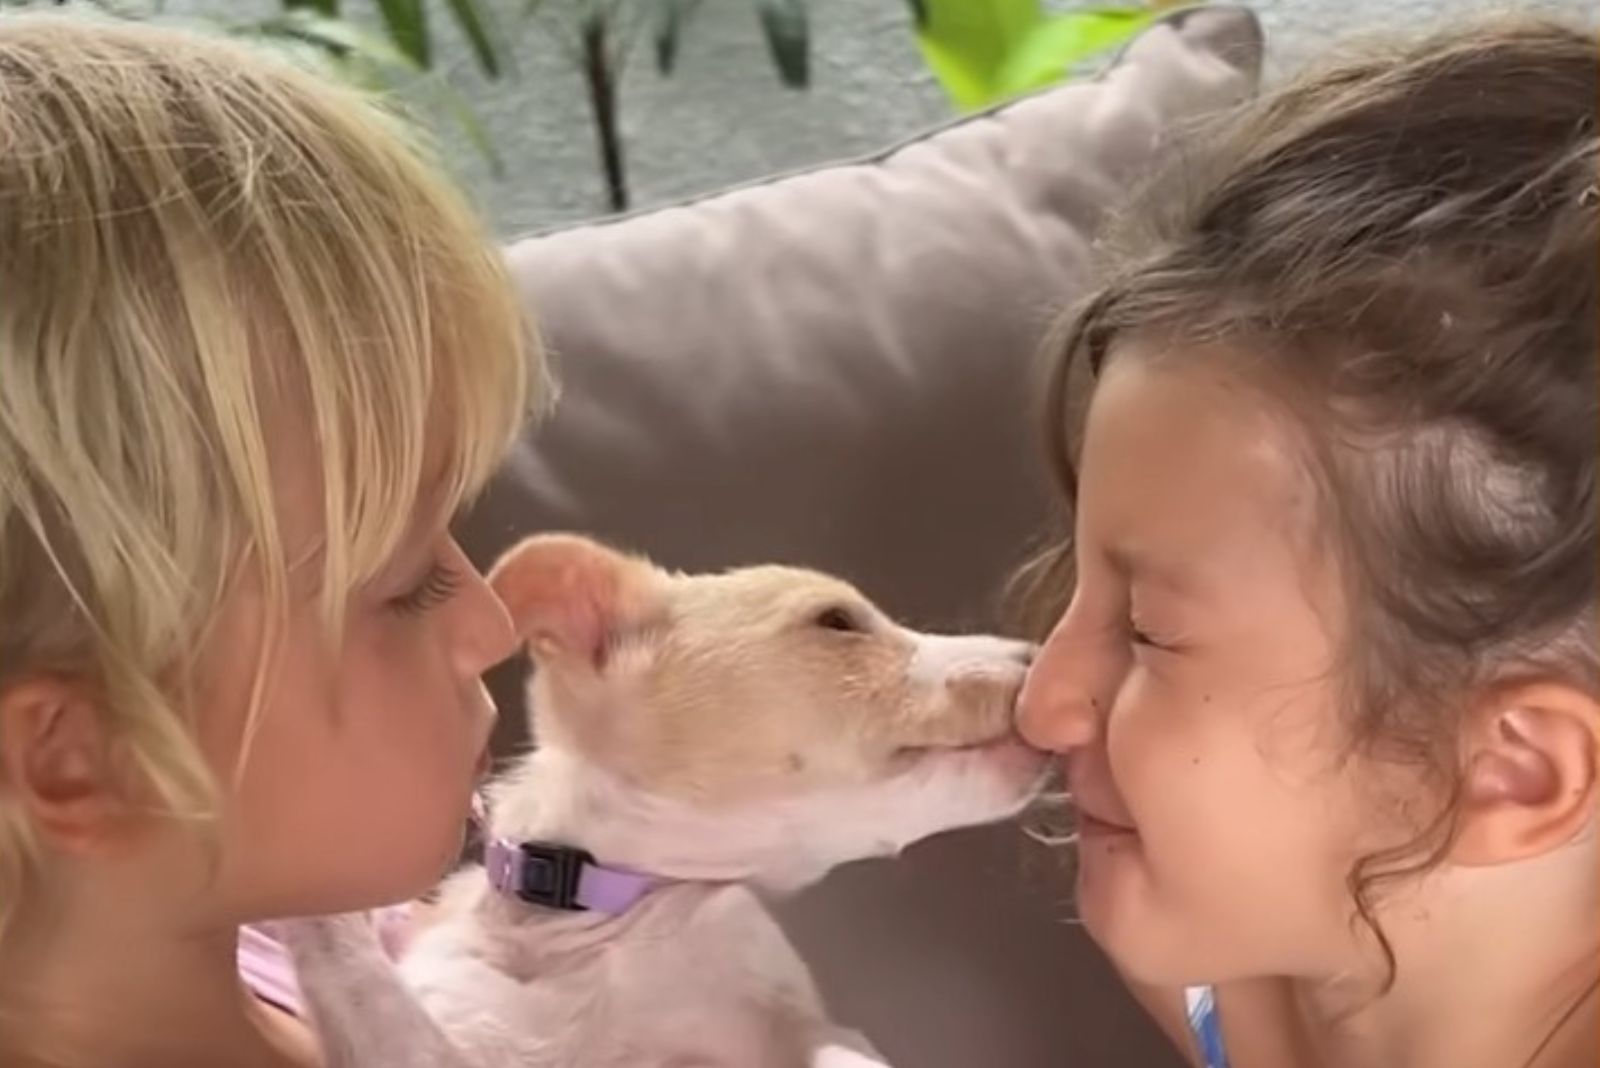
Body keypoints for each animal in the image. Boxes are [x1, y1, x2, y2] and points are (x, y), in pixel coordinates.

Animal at [288, 537, 1049, 1068]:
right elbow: (355, 968)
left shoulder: (799, 1018)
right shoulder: (438, 1042)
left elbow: (841, 1051)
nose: (1043, 656)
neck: (604, 913)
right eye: (836, 621)